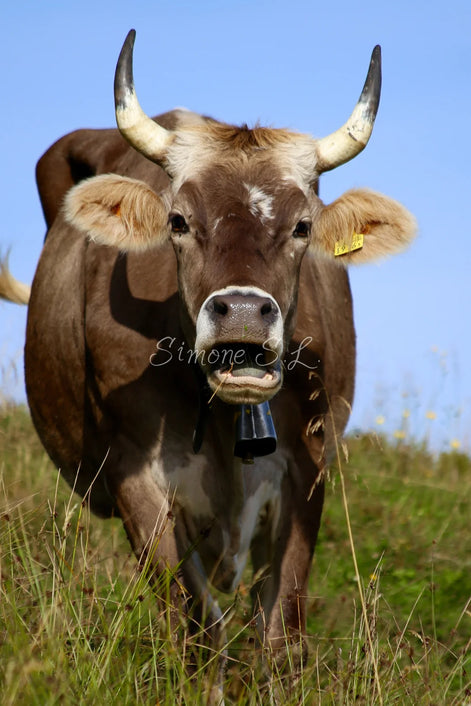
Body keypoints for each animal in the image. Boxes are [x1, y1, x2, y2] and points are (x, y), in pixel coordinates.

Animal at [1, 29, 416, 696]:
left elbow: (281, 634)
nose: (242, 313)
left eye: (303, 226)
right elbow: (199, 630)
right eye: (178, 220)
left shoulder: (308, 465)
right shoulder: (136, 473)